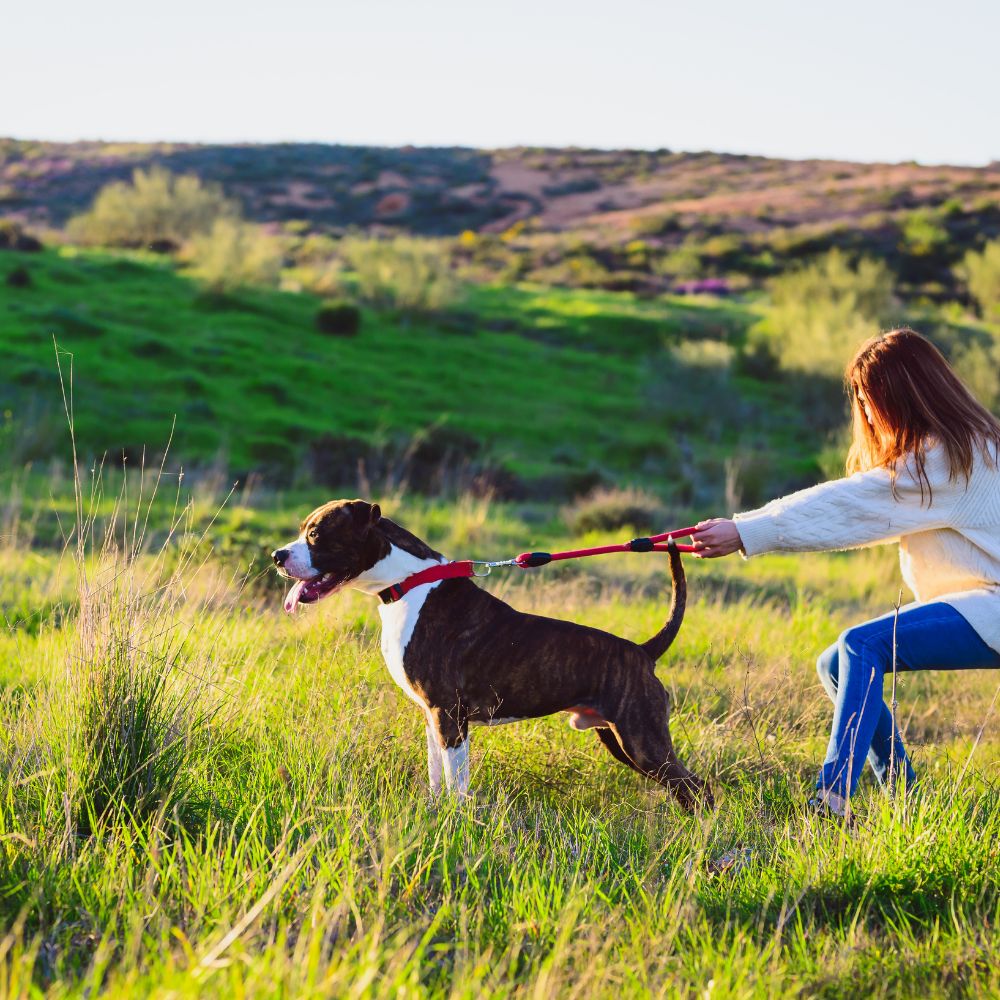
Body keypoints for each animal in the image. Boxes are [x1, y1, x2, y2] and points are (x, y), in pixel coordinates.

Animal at [274, 500, 712, 812]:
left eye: (316, 533)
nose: (278, 555)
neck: (410, 582)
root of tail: (642, 651)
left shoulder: (449, 715)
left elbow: (457, 784)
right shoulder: (432, 718)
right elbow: (437, 778)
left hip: (642, 740)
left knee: (698, 788)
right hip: (620, 739)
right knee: (686, 790)